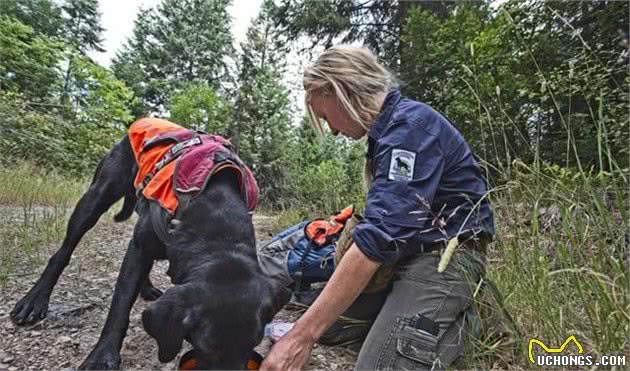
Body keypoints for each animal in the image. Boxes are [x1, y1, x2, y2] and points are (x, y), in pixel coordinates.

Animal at [9, 134, 292, 370]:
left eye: (252, 343)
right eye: (205, 347)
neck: (218, 231)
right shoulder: (140, 247)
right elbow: (120, 304)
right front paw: (102, 356)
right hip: (97, 196)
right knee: (63, 252)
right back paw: (34, 301)